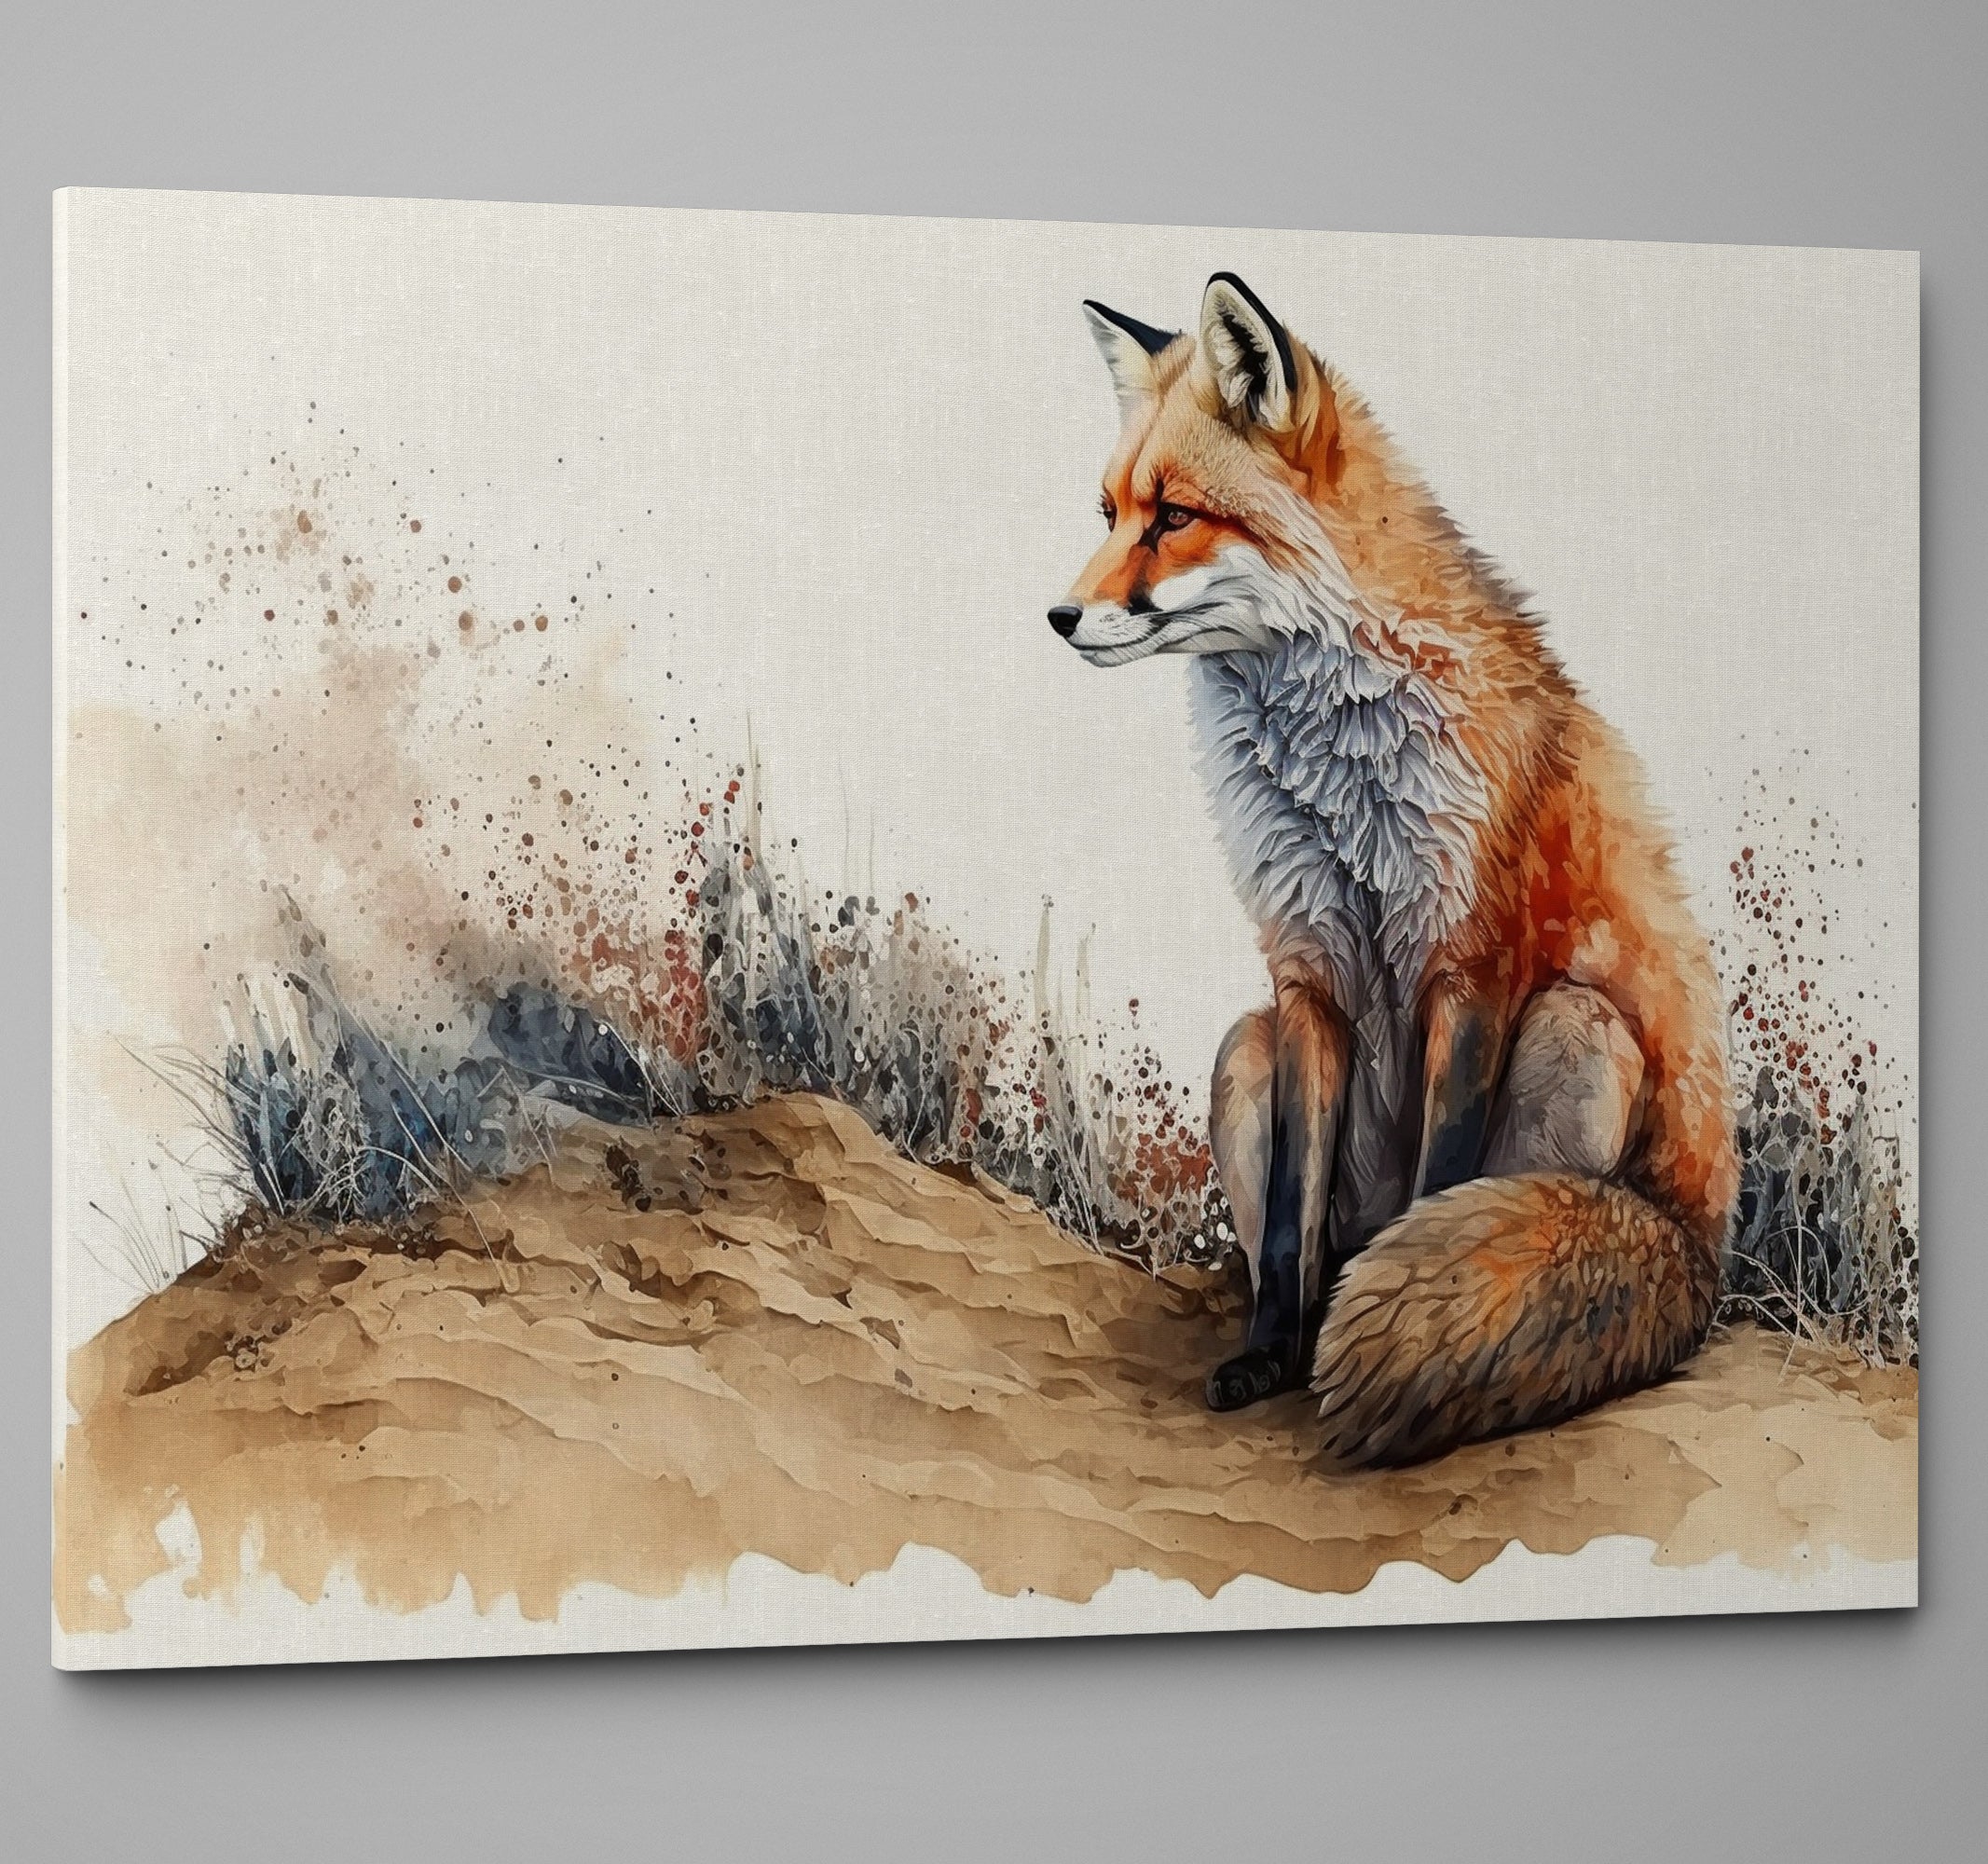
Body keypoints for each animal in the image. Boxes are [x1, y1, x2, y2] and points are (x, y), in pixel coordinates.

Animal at [1050, 273, 1738, 1467]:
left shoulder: (1472, 967)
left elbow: (1442, 1179)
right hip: (1243, 1048)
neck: (1334, 786)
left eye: (1174, 516)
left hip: (1578, 1026)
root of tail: (1699, 1249)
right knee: (1314, 1241)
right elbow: (1288, 1219)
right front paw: (1269, 1358)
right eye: (1108, 514)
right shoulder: (1305, 973)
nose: (1057, 616)